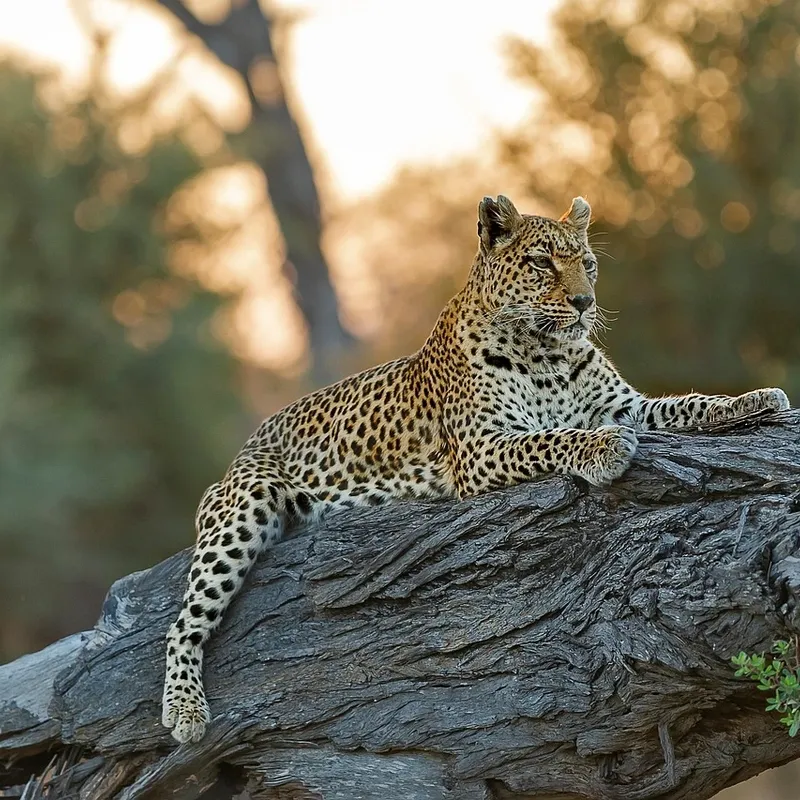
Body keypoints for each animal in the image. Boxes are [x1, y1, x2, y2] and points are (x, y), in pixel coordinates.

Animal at [162, 194, 790, 744]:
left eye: (587, 265)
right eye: (542, 263)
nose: (584, 303)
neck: (547, 354)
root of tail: (247, 444)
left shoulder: (625, 404)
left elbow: (685, 405)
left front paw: (754, 400)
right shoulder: (478, 449)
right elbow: (549, 438)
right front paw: (602, 449)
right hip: (244, 509)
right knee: (183, 623)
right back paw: (186, 711)